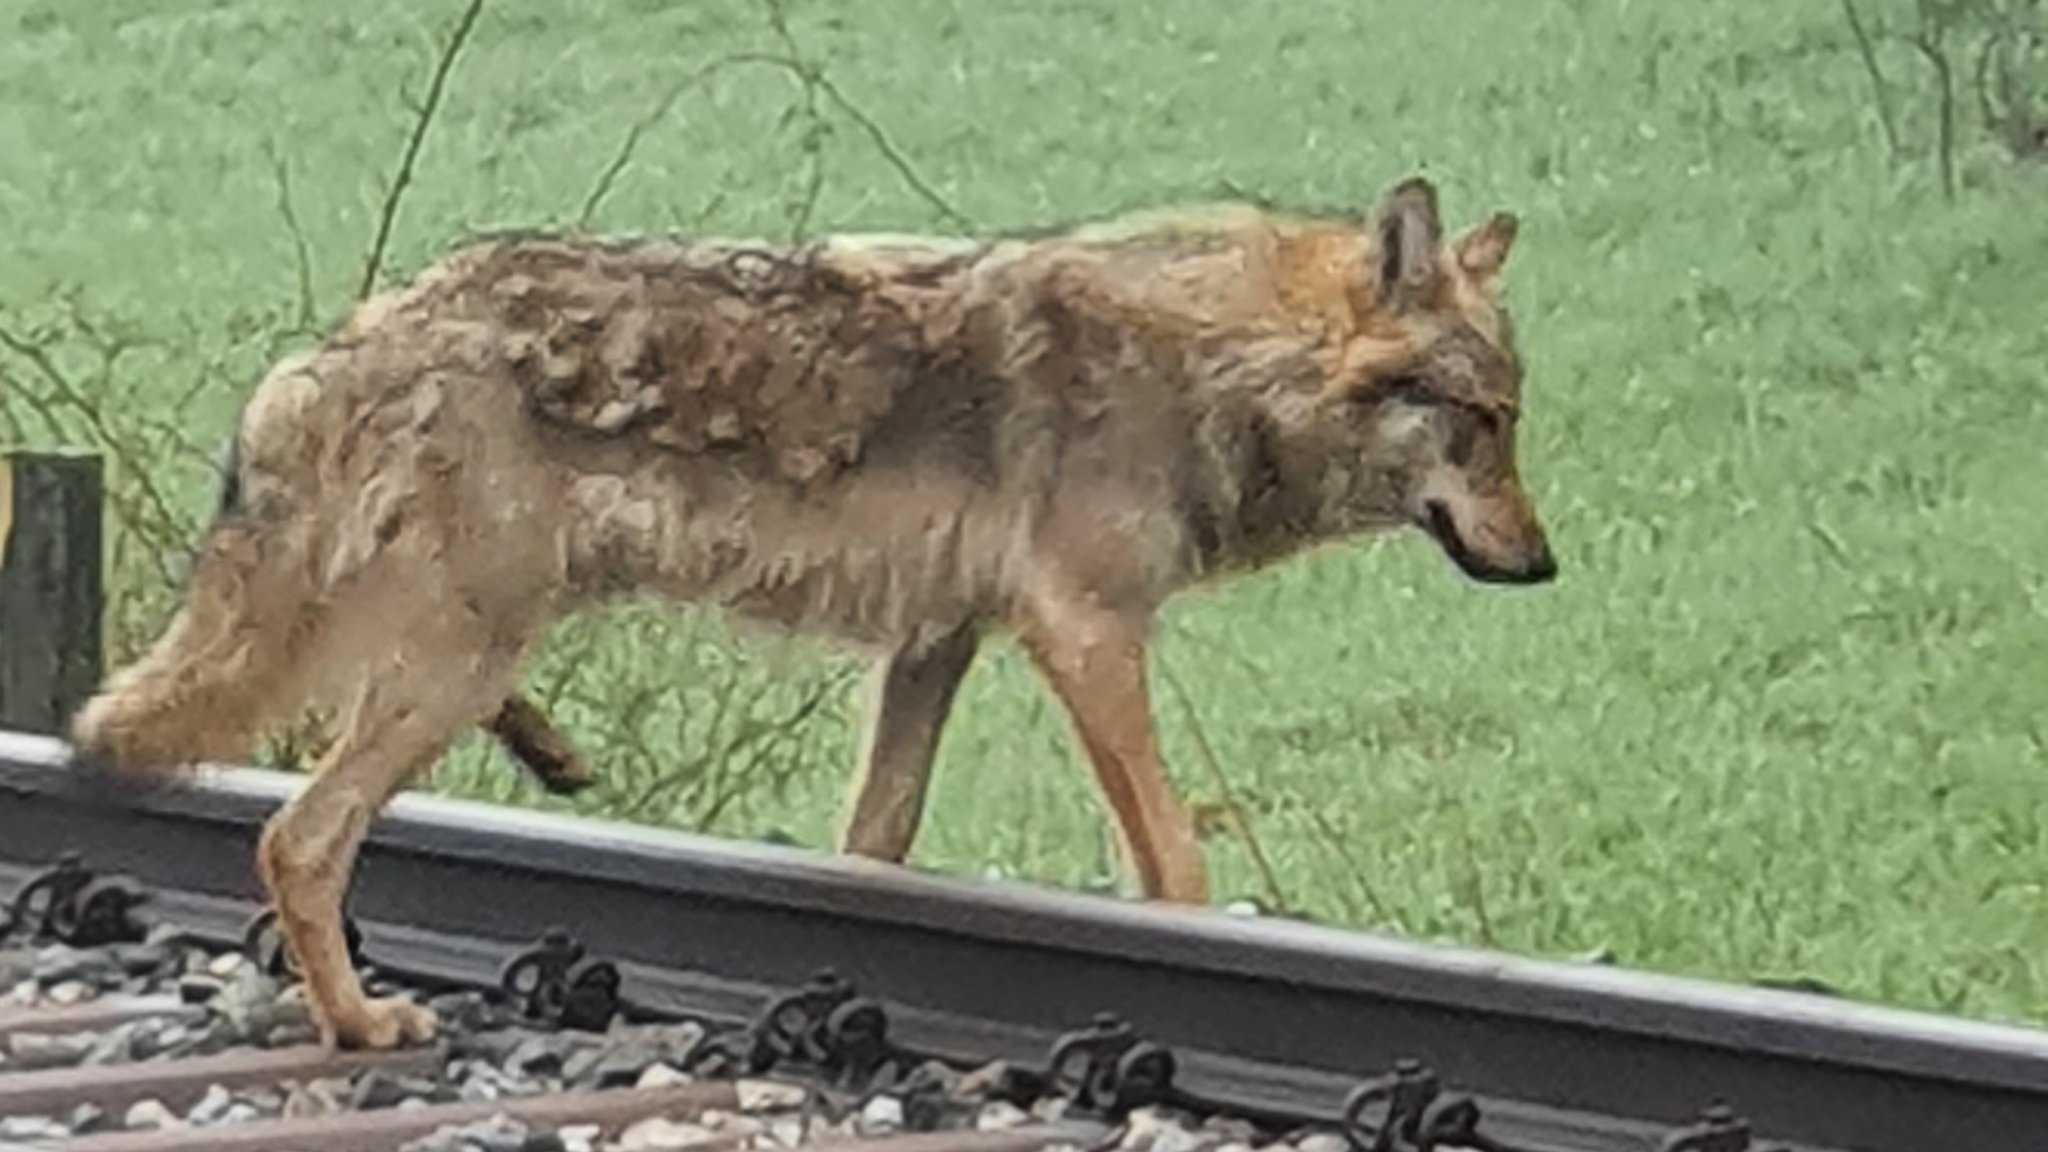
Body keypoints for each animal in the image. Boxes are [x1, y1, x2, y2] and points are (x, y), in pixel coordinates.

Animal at [72, 175, 1556, 1045]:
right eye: (1480, 424)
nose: (1542, 566)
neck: (1212, 368)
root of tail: (348, 335)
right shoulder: (1087, 634)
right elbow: (1177, 870)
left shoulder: (934, 647)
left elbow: (874, 846)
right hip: (454, 654)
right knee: (298, 840)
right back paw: (364, 1023)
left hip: (466, 641)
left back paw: (540, 763)